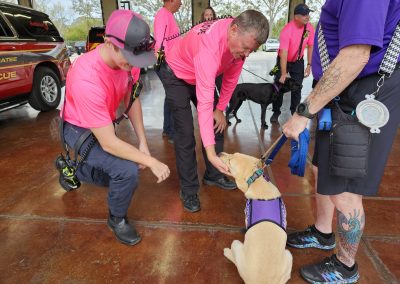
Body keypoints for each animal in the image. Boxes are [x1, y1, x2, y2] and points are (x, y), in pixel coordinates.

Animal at [220, 153, 292, 284]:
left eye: (230, 161)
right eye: (234, 153)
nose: (219, 153)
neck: (257, 181)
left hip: (236, 244)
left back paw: (227, 252)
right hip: (289, 256)